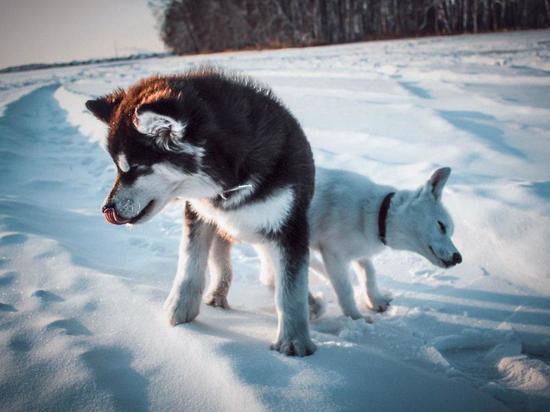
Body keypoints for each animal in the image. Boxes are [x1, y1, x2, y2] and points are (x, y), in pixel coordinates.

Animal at [88, 69, 316, 356]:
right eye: (118, 168)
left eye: (136, 168)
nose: (107, 208)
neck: (228, 181)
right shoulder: (198, 214)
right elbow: (190, 264)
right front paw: (178, 311)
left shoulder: (289, 227)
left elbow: (291, 290)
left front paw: (294, 341)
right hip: (222, 229)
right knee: (222, 264)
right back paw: (217, 294)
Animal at [206, 166, 462, 320]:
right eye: (441, 226)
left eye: (450, 230)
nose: (459, 258)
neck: (375, 213)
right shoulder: (334, 254)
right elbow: (345, 289)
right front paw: (357, 319)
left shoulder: (360, 252)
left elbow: (369, 274)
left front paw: (376, 300)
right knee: (269, 277)